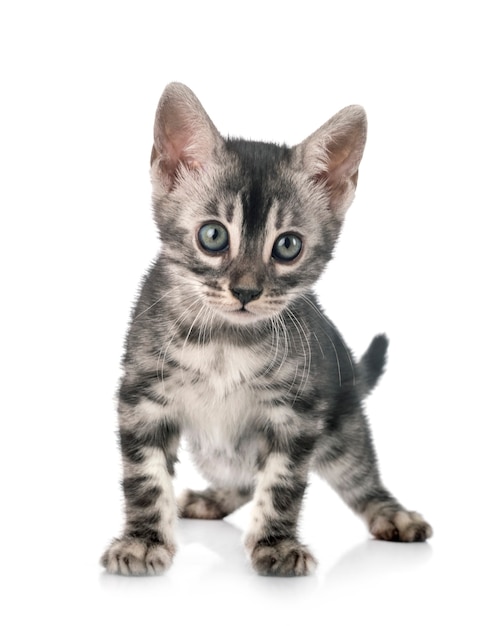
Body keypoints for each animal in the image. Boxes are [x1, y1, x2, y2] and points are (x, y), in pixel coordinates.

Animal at [101, 83, 434, 576]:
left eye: (288, 246)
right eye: (213, 236)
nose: (245, 290)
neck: (225, 341)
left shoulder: (298, 411)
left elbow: (282, 482)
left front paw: (276, 545)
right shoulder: (143, 396)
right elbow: (145, 477)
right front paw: (142, 541)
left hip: (343, 425)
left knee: (357, 475)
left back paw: (392, 514)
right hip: (213, 450)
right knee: (240, 474)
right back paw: (213, 498)